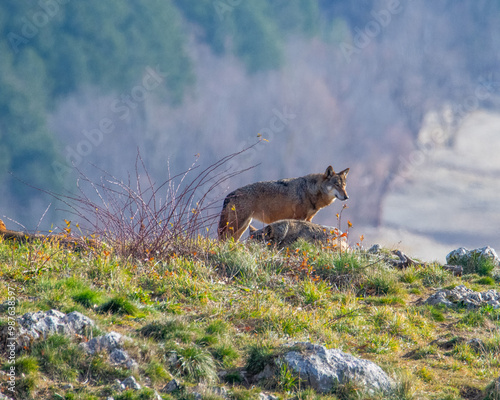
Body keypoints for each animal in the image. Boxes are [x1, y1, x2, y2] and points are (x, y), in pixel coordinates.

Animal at [217, 166, 350, 241]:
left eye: (344, 185)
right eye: (336, 185)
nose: (346, 197)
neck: (310, 190)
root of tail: (230, 194)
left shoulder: (309, 218)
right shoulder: (299, 218)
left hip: (243, 226)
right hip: (236, 224)